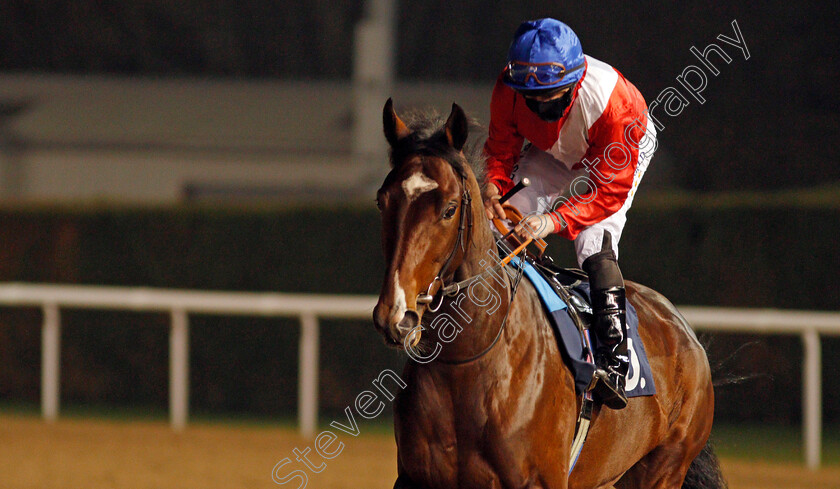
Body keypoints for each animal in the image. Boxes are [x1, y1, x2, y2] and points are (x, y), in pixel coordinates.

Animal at [370, 100, 724, 488]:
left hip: (664, 466)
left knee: (600, 248)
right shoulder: (414, 477)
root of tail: (684, 329)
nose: (396, 316)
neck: (467, 362)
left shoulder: (541, 480)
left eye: (449, 209)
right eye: (382, 201)